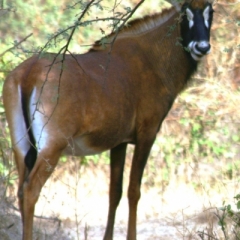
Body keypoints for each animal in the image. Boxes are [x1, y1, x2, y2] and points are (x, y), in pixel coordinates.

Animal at [2, 0, 214, 239]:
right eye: (185, 13)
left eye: (211, 11)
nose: (202, 47)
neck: (152, 57)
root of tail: (29, 74)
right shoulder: (147, 134)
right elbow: (133, 191)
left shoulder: (119, 142)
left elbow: (115, 192)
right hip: (52, 146)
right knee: (30, 190)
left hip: (21, 147)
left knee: (20, 190)